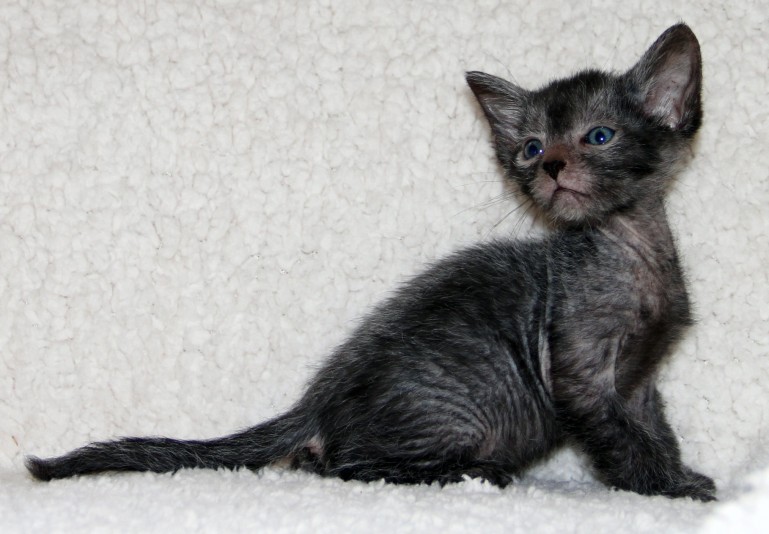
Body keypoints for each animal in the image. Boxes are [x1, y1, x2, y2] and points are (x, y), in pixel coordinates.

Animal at [27, 24, 716, 502]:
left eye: (599, 137)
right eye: (530, 147)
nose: (550, 166)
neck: (629, 245)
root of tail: (316, 401)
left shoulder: (638, 380)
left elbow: (654, 430)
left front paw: (678, 472)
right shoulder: (583, 378)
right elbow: (621, 442)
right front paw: (666, 489)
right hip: (457, 407)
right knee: (352, 464)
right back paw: (473, 473)